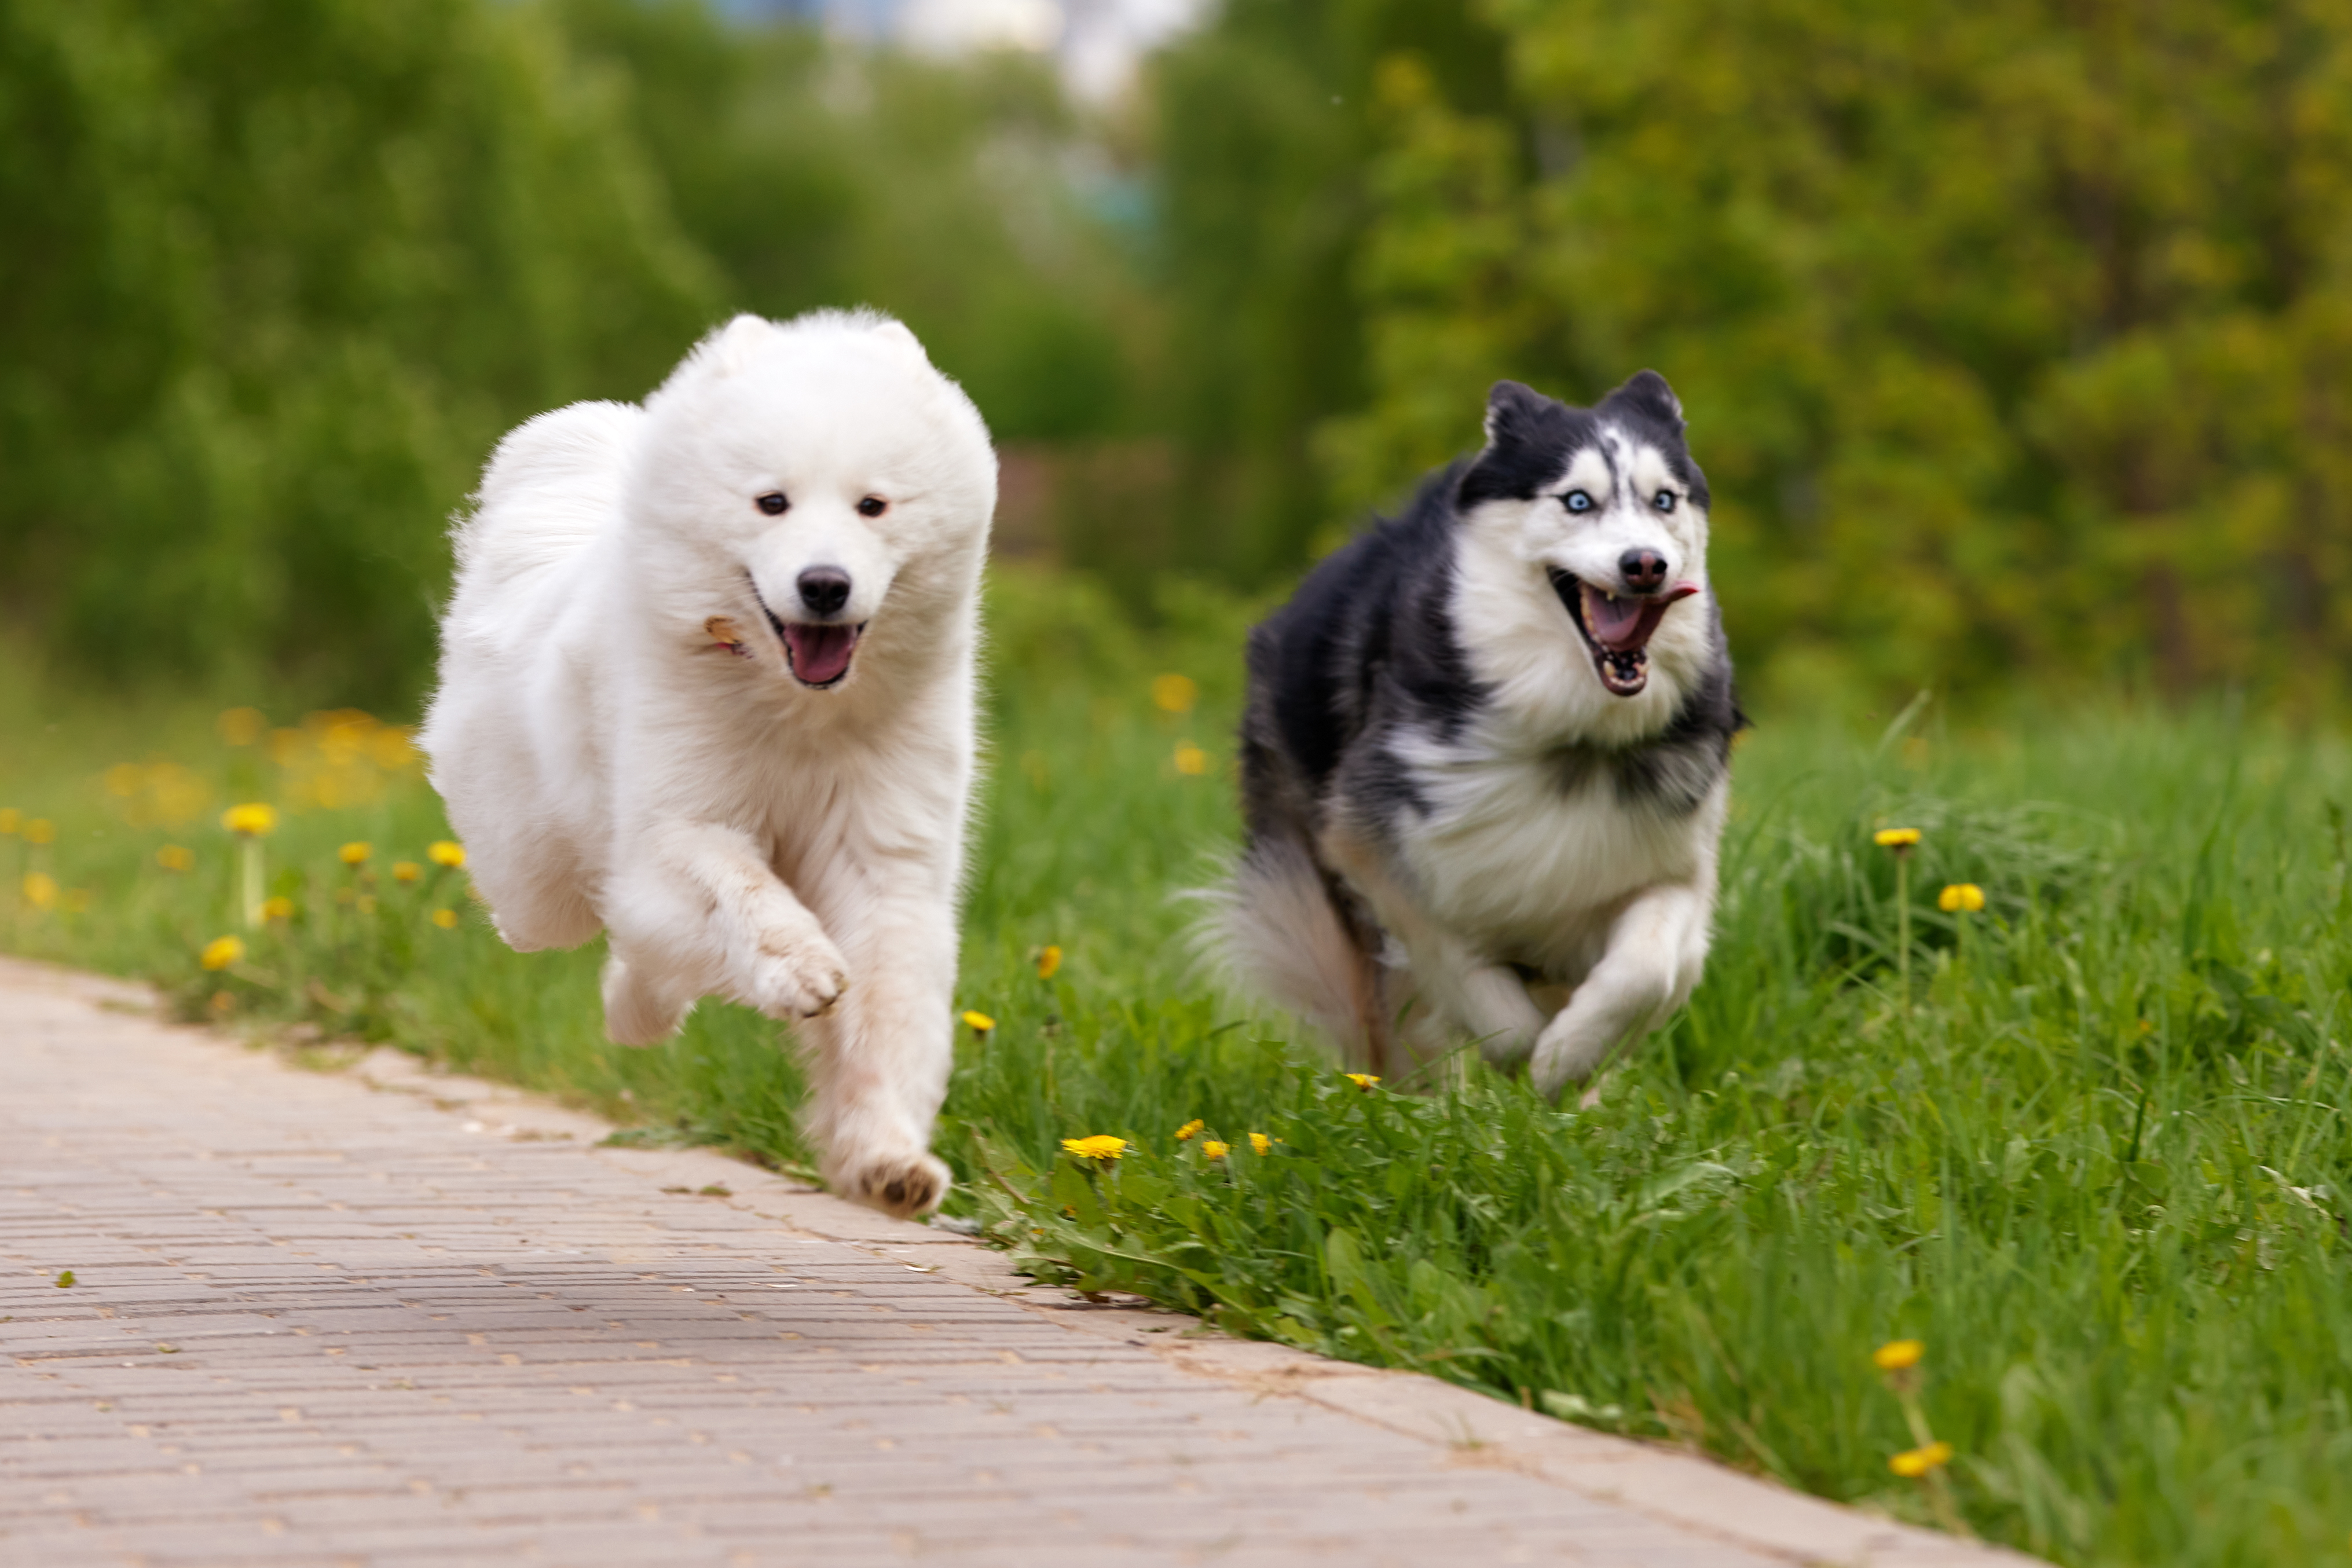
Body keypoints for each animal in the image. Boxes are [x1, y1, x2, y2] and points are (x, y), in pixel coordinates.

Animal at [423, 312, 992, 1222]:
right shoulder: (680, 824)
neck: (796, 712)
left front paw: (885, 1160)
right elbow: (744, 895)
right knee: (587, 920)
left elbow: (885, 1017)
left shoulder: (882, 854)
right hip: (537, 881)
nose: (825, 584)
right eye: (772, 502)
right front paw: (800, 967)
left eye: (872, 505)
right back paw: (635, 1010)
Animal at [1223, 373, 1740, 1100]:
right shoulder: (1372, 847)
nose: (1646, 564)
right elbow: (1463, 970)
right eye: (1577, 500)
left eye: (1664, 499)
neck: (1571, 728)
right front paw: (1521, 1056)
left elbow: (1645, 972)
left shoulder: (1671, 864)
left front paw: (1566, 1060)